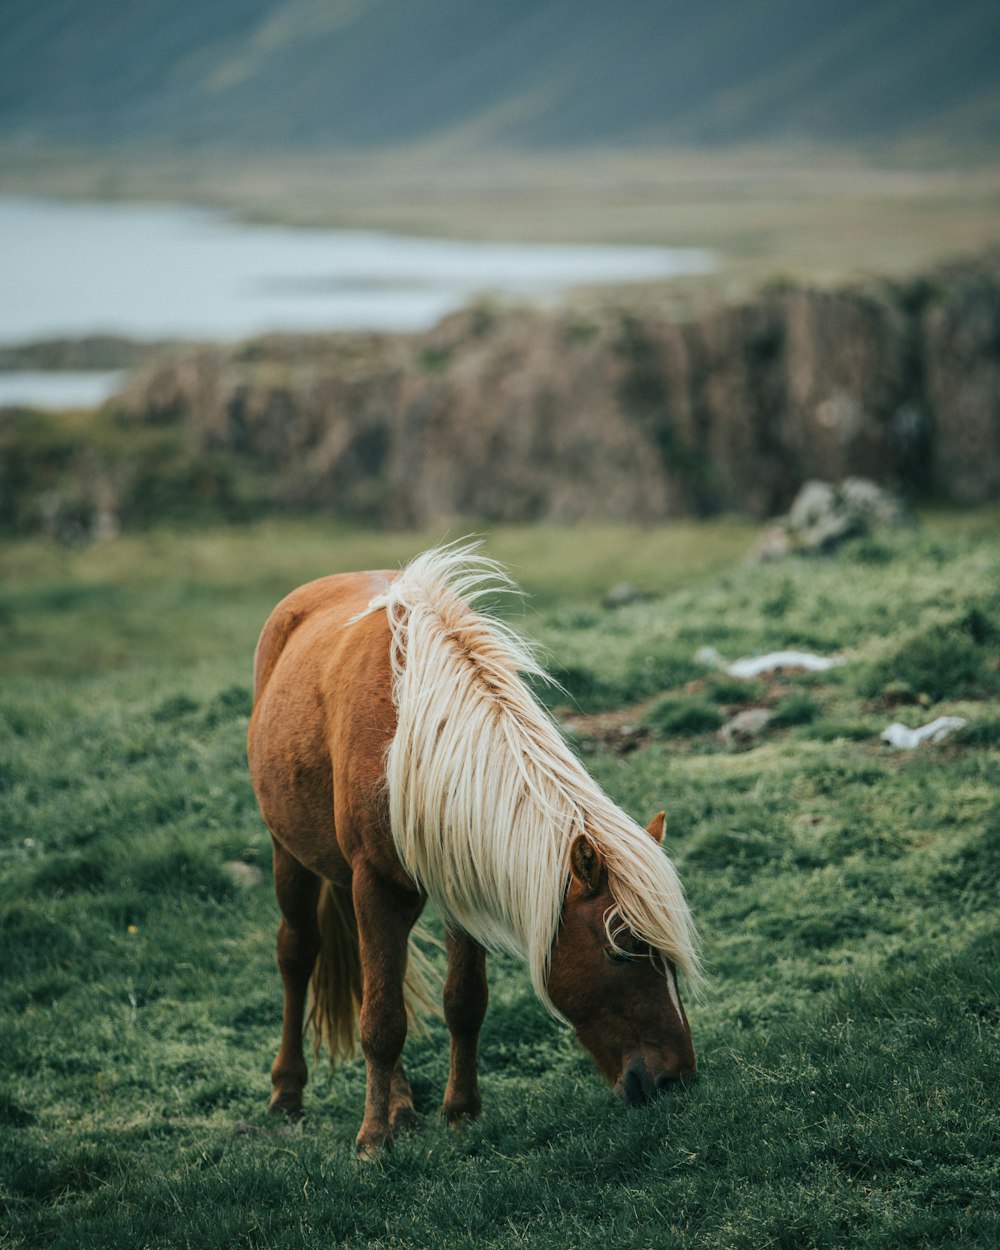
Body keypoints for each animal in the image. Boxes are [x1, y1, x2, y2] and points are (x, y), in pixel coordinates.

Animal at [248, 542, 700, 1155]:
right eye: (621, 950)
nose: (677, 1079)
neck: (414, 734)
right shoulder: (374, 885)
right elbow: (382, 1021)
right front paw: (372, 1143)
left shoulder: (459, 883)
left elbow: (463, 1002)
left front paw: (460, 1111)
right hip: (290, 856)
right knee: (297, 956)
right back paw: (288, 1093)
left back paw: (402, 1104)